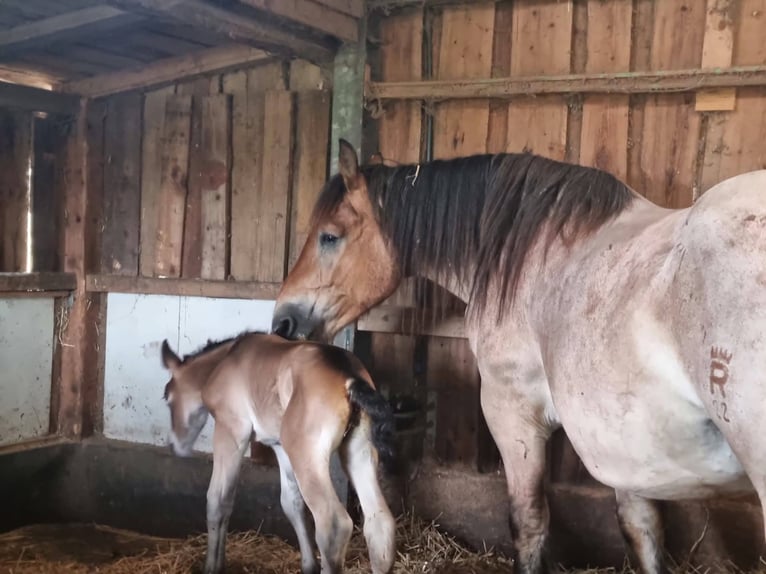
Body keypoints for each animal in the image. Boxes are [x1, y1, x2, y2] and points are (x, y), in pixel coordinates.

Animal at [272, 141, 764, 574]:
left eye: (330, 236)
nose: (283, 323)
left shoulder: (513, 417)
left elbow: (528, 523)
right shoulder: (626, 448)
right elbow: (642, 532)